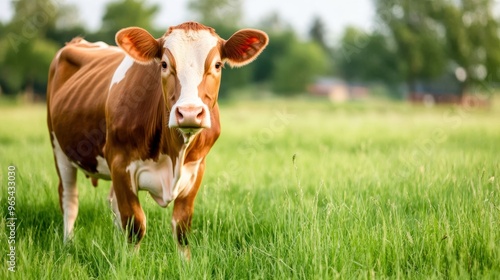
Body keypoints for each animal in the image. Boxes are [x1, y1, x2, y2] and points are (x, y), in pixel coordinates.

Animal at [46, 21, 270, 258]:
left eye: (217, 65)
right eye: (164, 64)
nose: (189, 113)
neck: (174, 153)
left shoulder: (196, 169)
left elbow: (181, 227)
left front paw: (184, 263)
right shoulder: (120, 163)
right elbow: (135, 224)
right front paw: (130, 262)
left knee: (112, 203)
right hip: (59, 150)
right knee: (69, 199)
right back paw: (68, 245)